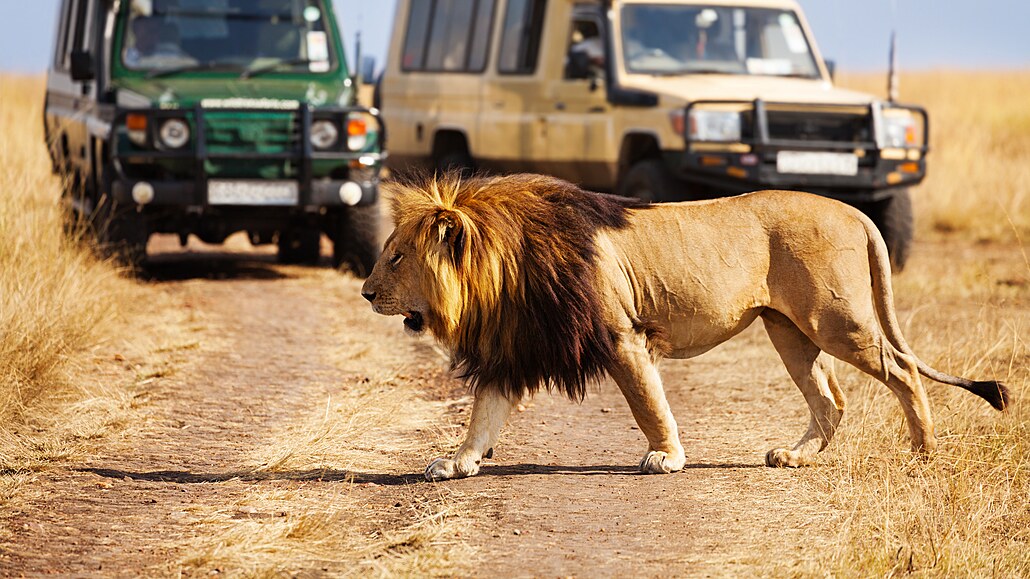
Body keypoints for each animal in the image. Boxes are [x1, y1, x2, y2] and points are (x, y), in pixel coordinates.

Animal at [360, 173, 1005, 480]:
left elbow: (649, 404)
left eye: (395, 257)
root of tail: (854, 210)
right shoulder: (514, 350)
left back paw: (923, 453)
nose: (366, 293)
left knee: (903, 370)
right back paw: (794, 457)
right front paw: (456, 464)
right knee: (831, 399)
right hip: (788, 330)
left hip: (835, 320)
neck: (503, 271)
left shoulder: (622, 336)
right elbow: (482, 416)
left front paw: (666, 458)